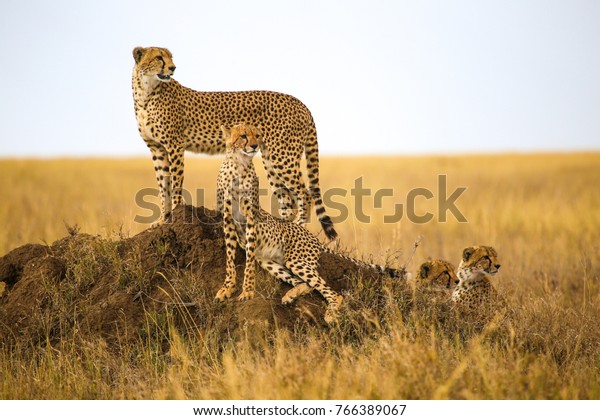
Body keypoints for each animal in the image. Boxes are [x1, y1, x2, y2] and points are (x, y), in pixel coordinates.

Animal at [132, 46, 338, 240]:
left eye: (170, 57)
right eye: (159, 57)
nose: (173, 67)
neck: (146, 92)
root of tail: (300, 103)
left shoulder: (174, 145)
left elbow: (175, 183)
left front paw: (175, 214)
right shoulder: (157, 149)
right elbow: (162, 186)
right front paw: (162, 220)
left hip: (282, 157)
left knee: (304, 194)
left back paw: (298, 226)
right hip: (271, 161)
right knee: (287, 201)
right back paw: (282, 229)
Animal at [216, 123, 398, 324]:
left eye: (257, 135)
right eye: (243, 136)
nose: (255, 146)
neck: (238, 164)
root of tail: (313, 238)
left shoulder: (251, 218)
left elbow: (248, 262)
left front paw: (247, 291)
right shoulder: (227, 218)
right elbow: (230, 257)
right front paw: (227, 288)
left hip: (296, 260)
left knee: (332, 292)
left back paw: (330, 314)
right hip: (270, 262)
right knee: (305, 283)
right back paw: (290, 295)